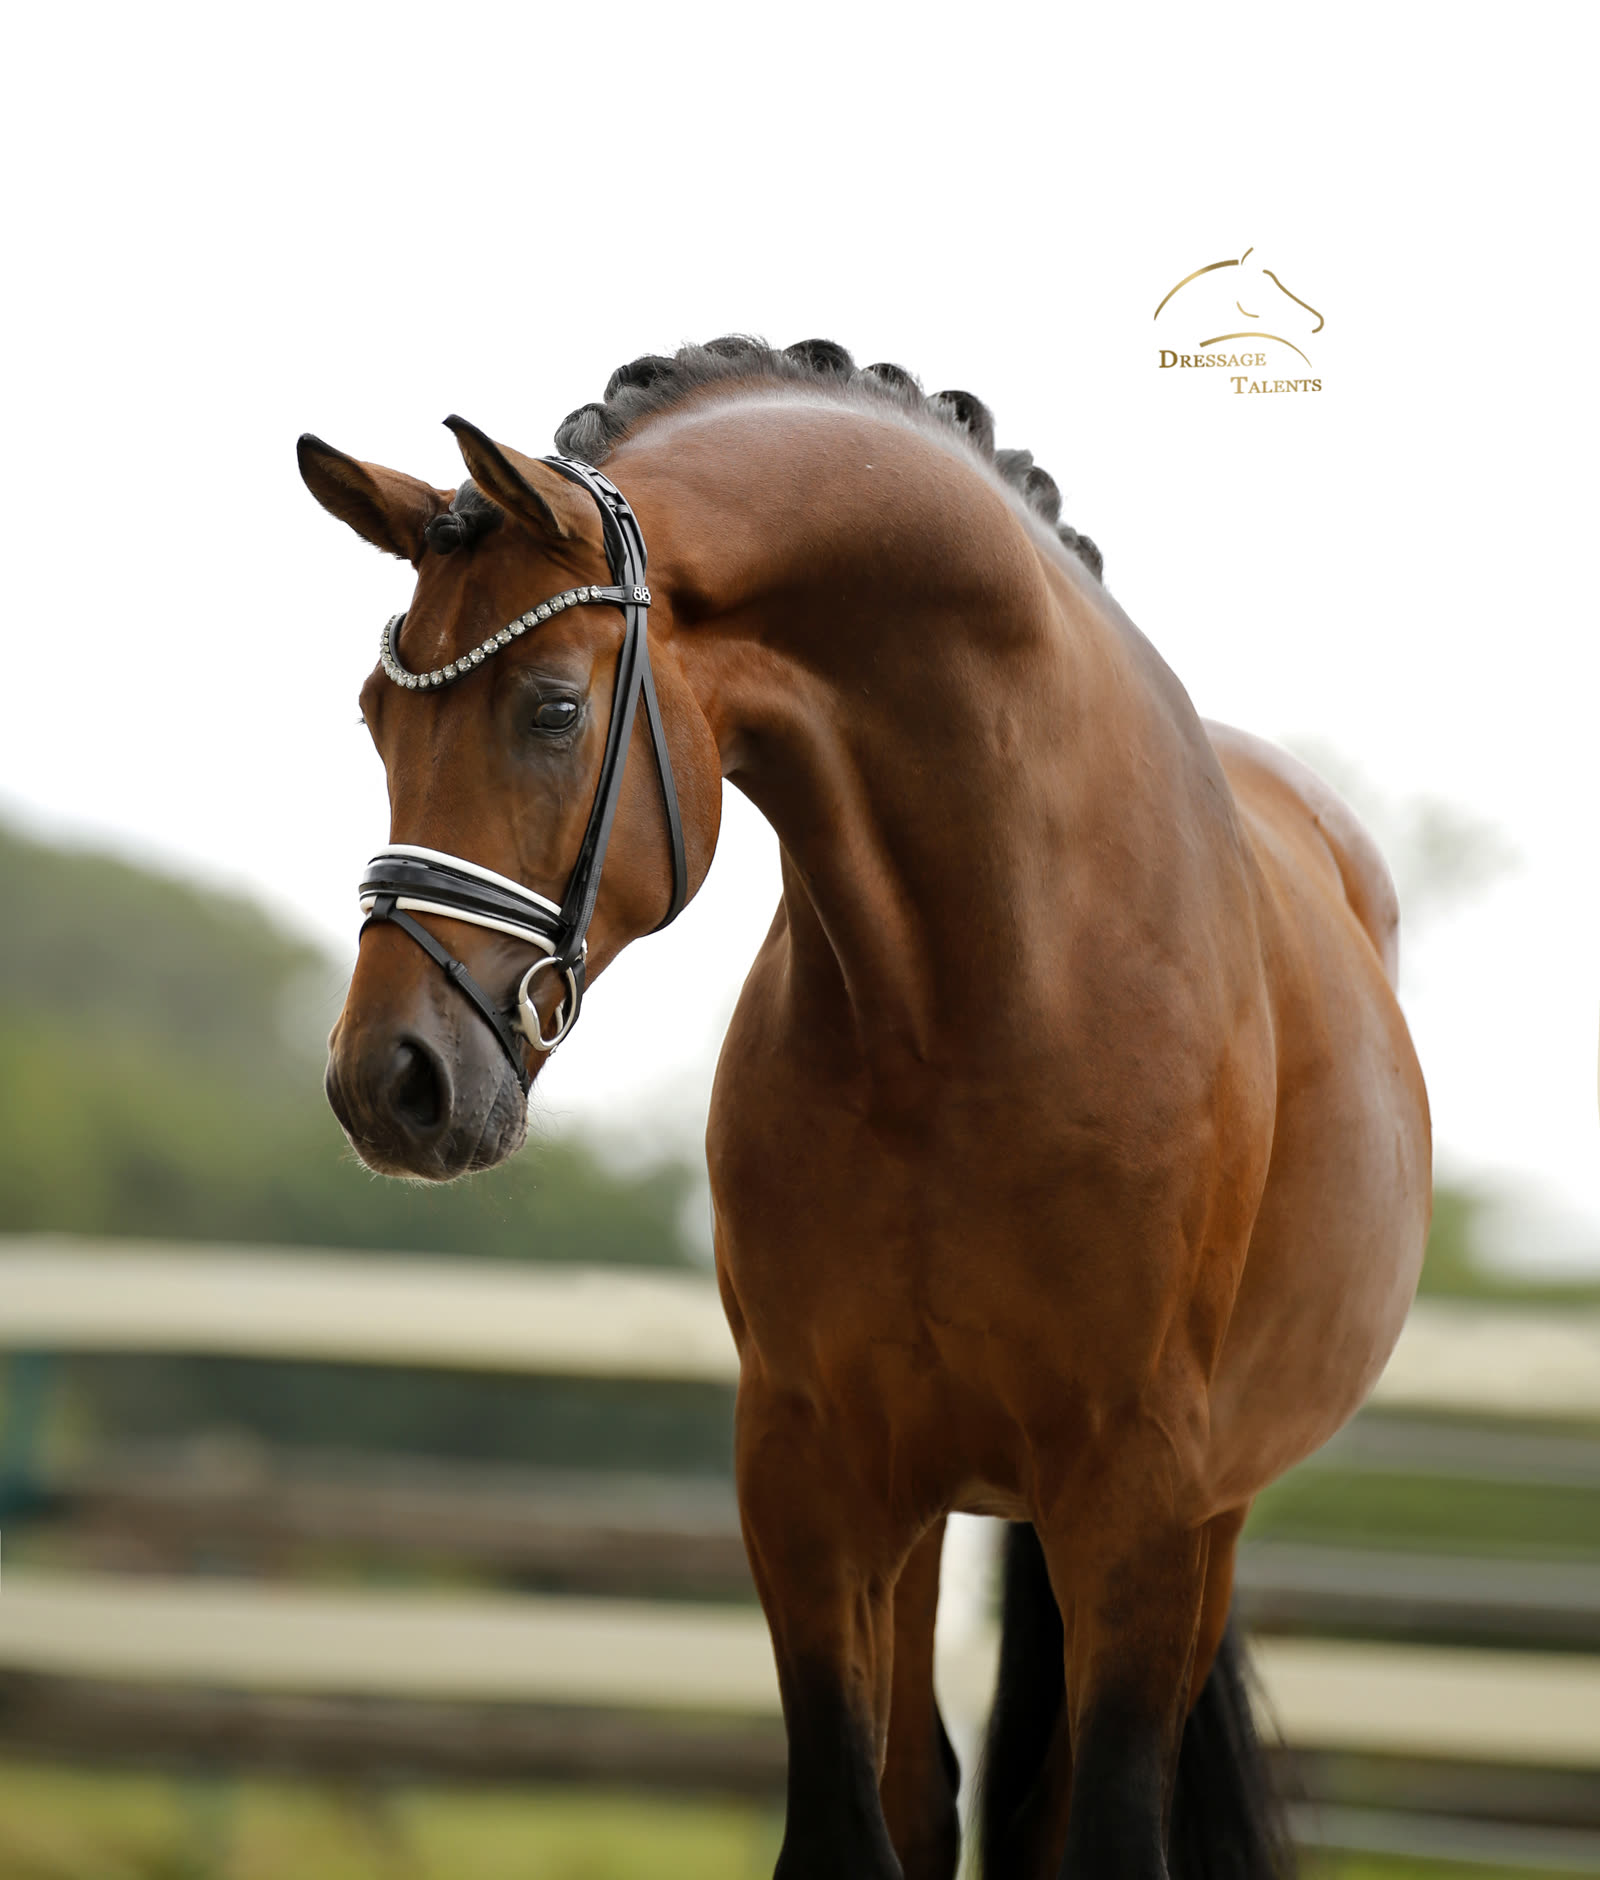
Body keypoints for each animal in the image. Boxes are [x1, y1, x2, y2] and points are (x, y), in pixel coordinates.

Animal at [299, 336, 1430, 1880]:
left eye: (552, 707)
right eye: (375, 717)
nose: (391, 1081)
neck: (971, 995)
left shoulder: (1140, 1490)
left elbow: (1103, 1826)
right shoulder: (807, 1467)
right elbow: (851, 1822)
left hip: (1201, 1513)